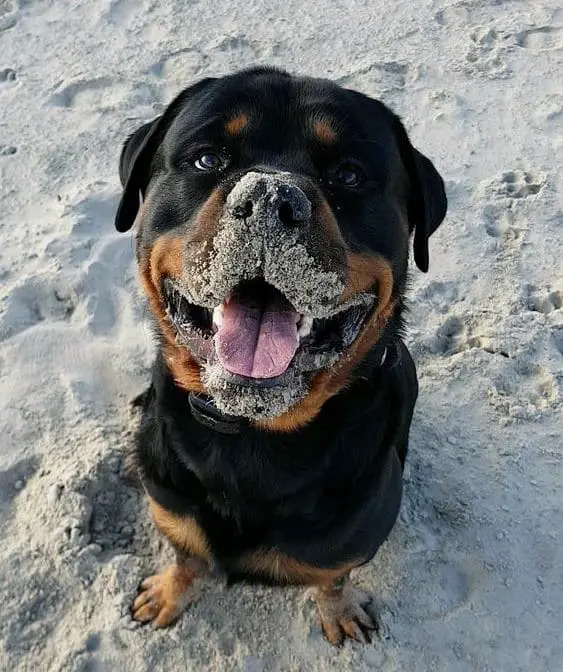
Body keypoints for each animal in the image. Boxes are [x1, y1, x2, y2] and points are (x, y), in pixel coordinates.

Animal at [117, 65, 448, 644]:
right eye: (207, 159)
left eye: (349, 174)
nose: (272, 198)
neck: (253, 438)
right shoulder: (171, 502)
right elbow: (185, 553)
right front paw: (168, 592)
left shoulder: (349, 542)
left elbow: (332, 578)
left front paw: (338, 610)